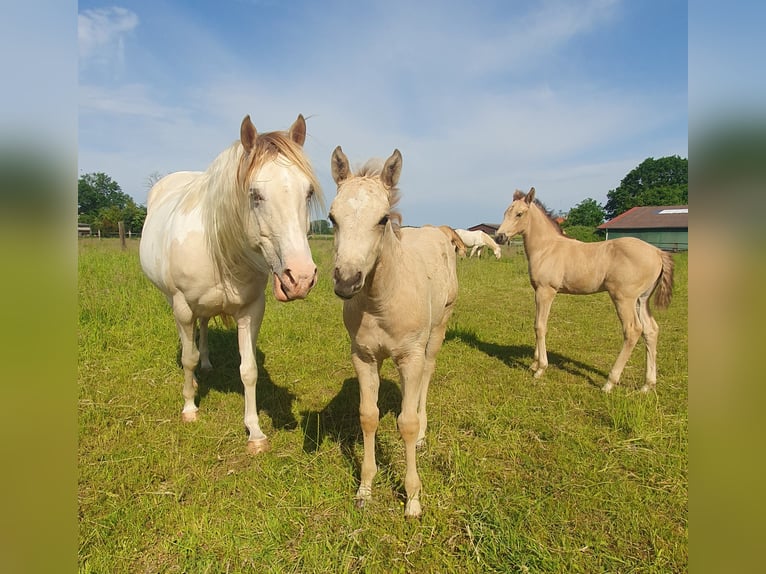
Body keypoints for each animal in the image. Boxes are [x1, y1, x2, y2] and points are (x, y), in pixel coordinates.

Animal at [139, 114, 323, 454]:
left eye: (307, 193)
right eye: (255, 194)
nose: (301, 278)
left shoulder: (251, 311)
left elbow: (248, 370)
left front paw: (255, 432)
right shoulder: (183, 306)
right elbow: (187, 357)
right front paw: (189, 408)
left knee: (204, 327)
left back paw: (207, 364)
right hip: (174, 302)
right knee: (188, 340)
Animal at [328, 146, 458, 517]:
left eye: (383, 219)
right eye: (332, 218)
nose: (347, 280)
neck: (380, 302)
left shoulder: (409, 356)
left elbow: (407, 423)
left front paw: (413, 498)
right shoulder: (364, 357)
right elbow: (368, 416)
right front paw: (365, 489)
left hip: (437, 330)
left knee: (427, 375)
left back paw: (425, 431)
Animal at [495, 187, 674, 392]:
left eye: (519, 214)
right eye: (505, 212)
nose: (499, 237)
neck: (547, 247)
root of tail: (657, 252)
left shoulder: (546, 291)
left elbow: (540, 326)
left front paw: (540, 369)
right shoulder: (538, 292)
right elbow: (538, 323)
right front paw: (534, 363)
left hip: (623, 299)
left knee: (633, 331)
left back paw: (609, 383)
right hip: (642, 300)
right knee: (651, 330)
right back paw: (647, 386)